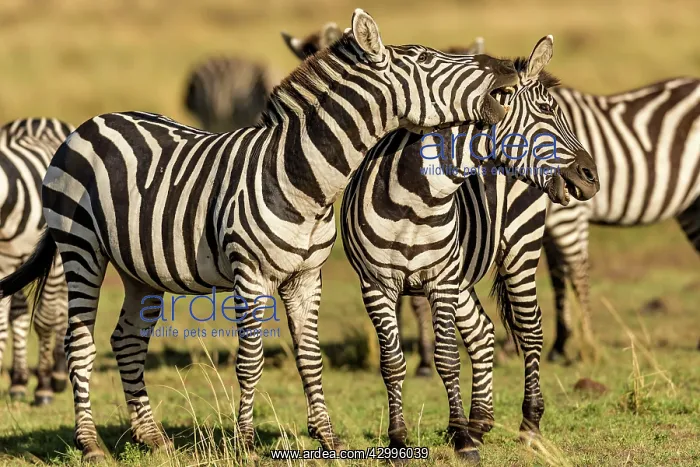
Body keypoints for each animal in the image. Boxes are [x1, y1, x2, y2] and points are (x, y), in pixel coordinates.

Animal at [0, 118, 74, 405]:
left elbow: (44, 320)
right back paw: (19, 381)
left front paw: (43, 385)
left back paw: (57, 374)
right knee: (19, 314)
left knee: (61, 308)